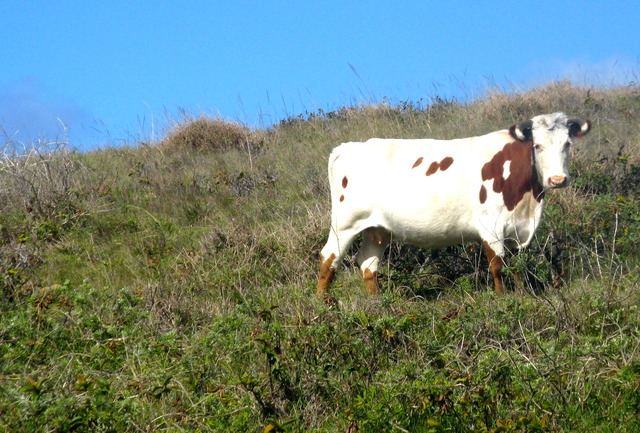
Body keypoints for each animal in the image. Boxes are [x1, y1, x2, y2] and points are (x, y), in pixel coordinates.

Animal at [317, 112, 591, 295]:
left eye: (567, 144)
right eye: (538, 145)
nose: (557, 179)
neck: (528, 200)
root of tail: (347, 147)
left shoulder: (518, 230)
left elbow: (516, 267)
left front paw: (520, 295)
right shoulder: (491, 225)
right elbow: (497, 266)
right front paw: (503, 300)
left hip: (378, 229)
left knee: (368, 264)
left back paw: (376, 304)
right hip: (344, 223)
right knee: (329, 258)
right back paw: (324, 305)